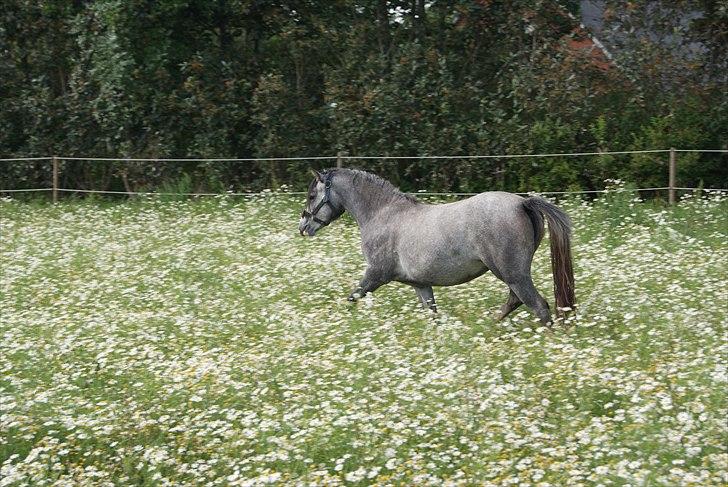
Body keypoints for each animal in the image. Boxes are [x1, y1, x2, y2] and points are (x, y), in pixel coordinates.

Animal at [298, 168, 576, 324]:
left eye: (312, 196)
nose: (303, 226)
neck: (384, 214)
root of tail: (522, 203)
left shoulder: (376, 275)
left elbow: (353, 297)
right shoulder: (421, 285)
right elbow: (432, 314)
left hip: (512, 273)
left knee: (538, 307)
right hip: (513, 274)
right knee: (515, 301)